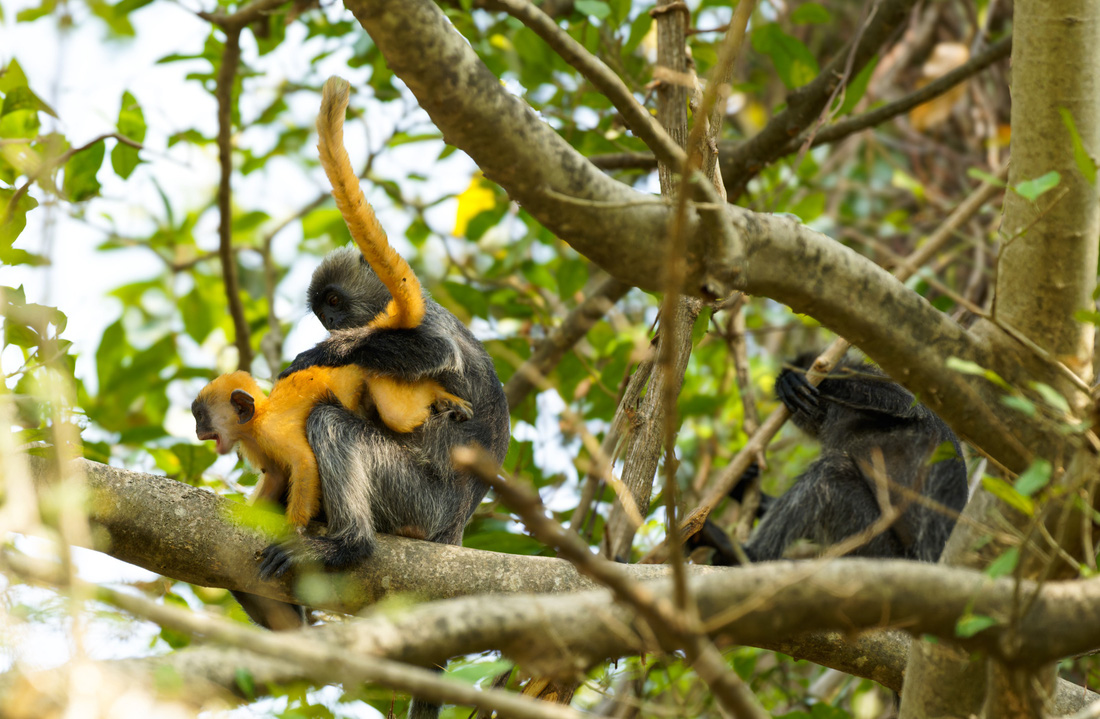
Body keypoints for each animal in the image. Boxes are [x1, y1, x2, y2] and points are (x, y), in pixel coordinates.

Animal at [699, 356, 968, 567]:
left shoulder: (873, 376)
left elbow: (907, 405)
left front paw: (803, 378)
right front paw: (742, 483)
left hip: (884, 550)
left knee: (830, 472)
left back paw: (747, 555)